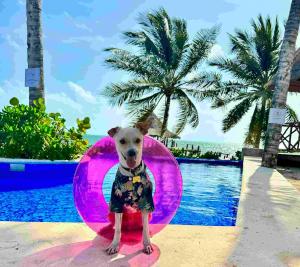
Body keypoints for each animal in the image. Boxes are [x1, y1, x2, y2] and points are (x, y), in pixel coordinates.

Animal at [105, 120, 155, 256]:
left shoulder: (146, 202)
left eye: (138, 140)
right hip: (112, 212)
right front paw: (114, 245)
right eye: (122, 141)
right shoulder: (116, 201)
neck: (131, 175)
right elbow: (117, 230)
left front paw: (147, 244)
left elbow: (146, 229)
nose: (132, 152)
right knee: (118, 225)